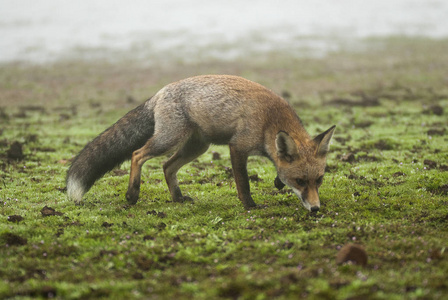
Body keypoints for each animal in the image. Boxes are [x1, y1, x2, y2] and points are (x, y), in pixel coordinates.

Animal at [65, 74, 334, 211]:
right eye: (300, 181)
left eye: (319, 180)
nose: (316, 209)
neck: (271, 119)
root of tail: (159, 92)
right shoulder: (237, 147)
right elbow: (244, 184)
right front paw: (250, 205)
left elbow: (277, 165)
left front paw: (278, 181)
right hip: (169, 139)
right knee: (137, 154)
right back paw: (132, 194)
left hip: (196, 147)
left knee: (167, 167)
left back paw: (177, 198)